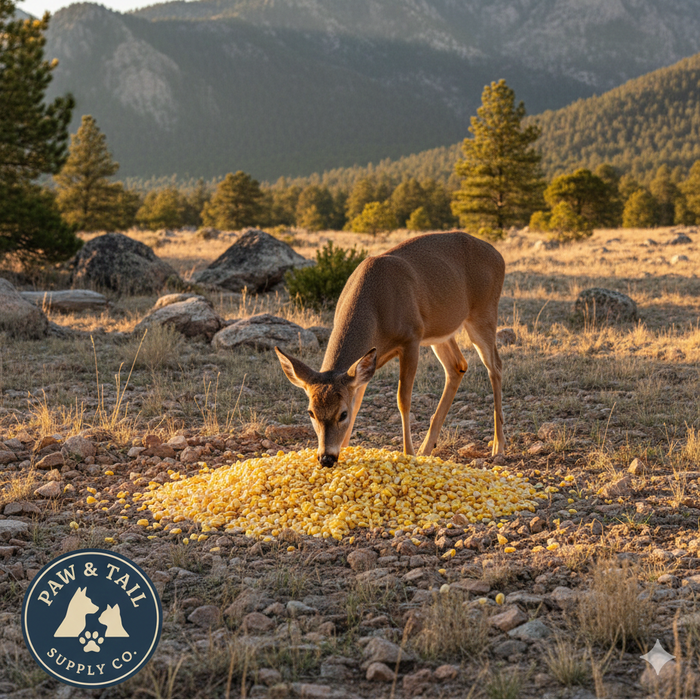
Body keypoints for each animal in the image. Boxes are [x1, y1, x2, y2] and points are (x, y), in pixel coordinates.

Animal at [275, 231, 505, 468]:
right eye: (311, 413)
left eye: (342, 414)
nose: (326, 458)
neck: (376, 307)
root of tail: (498, 255)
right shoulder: (368, 363)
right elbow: (358, 400)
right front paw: (347, 448)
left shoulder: (411, 338)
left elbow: (403, 399)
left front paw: (408, 453)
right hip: (440, 329)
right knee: (458, 366)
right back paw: (427, 448)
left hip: (483, 312)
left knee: (495, 366)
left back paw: (498, 446)